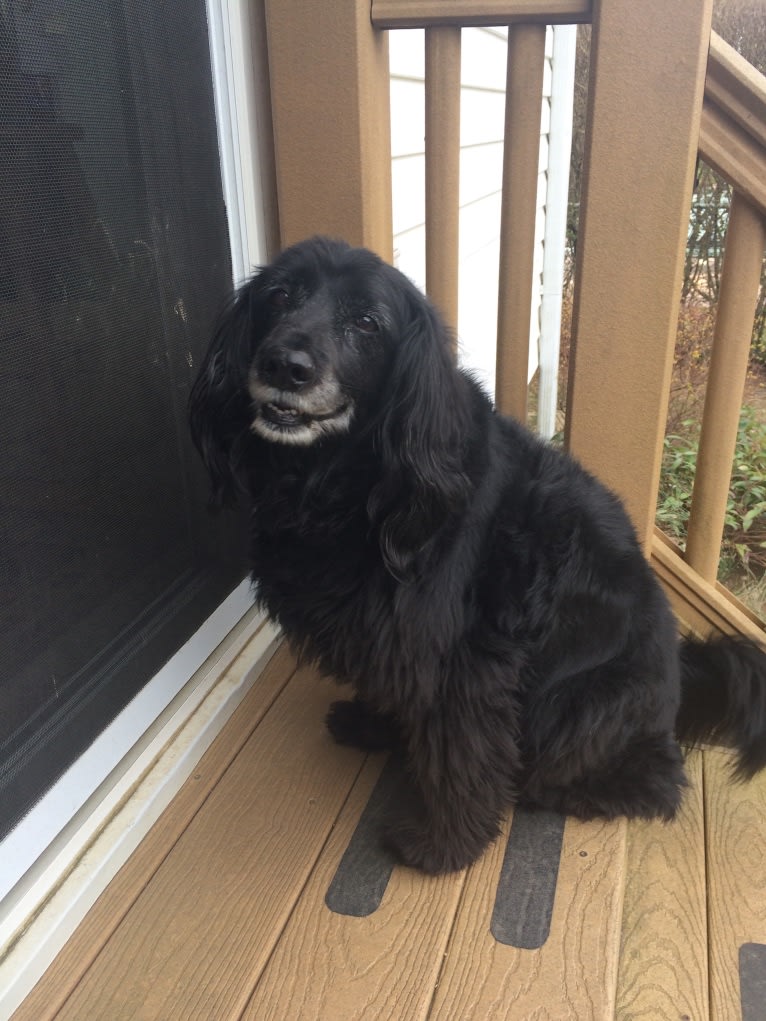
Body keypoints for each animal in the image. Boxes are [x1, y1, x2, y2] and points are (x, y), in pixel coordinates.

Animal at [190, 234, 766, 873]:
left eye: (367, 322)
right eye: (279, 296)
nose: (284, 366)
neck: (347, 479)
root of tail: (681, 679)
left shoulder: (465, 660)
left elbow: (461, 755)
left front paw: (442, 845)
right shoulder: (392, 637)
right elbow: (394, 685)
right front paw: (372, 723)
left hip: (579, 703)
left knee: (653, 780)